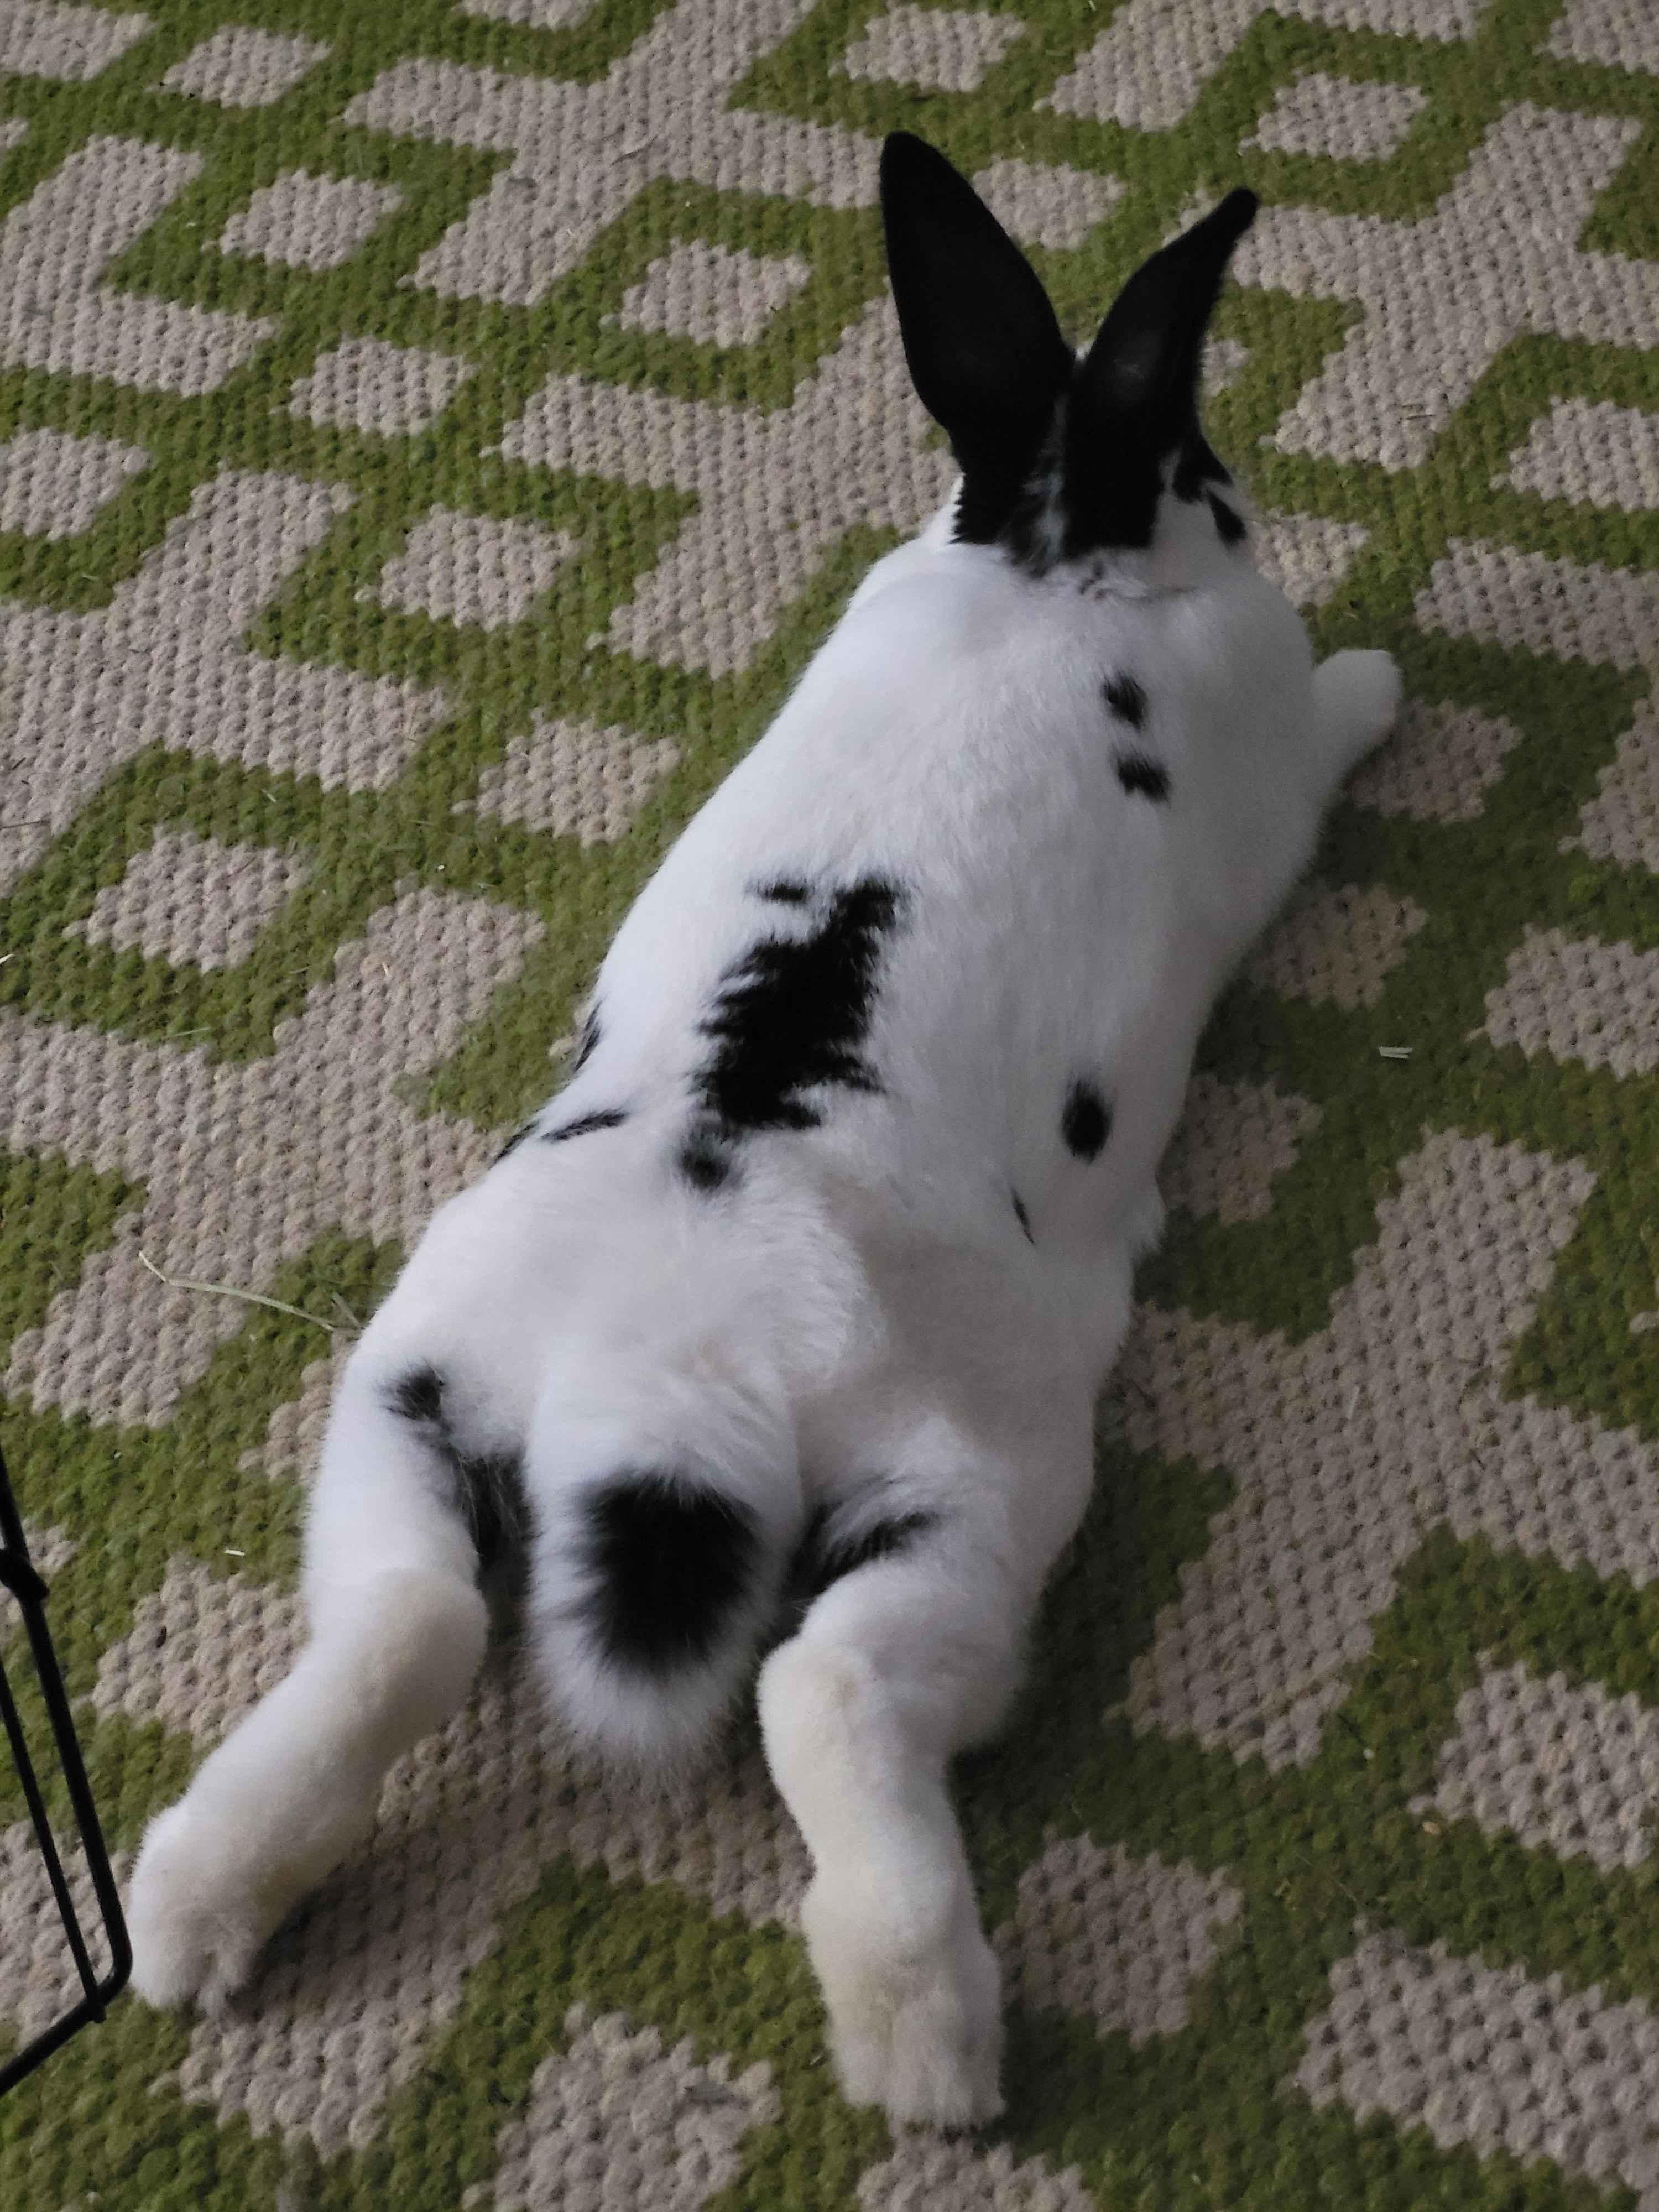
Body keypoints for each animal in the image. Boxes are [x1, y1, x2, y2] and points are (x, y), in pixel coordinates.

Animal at [125, 133, 1401, 2132]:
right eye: (1201, 468)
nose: (1240, 511)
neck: (1057, 558)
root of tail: (668, 1367)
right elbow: (1328, 730)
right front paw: (1382, 684)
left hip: (400, 1400)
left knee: (413, 1621)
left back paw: (189, 1912)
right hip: (977, 1494)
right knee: (825, 1687)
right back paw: (926, 2043)